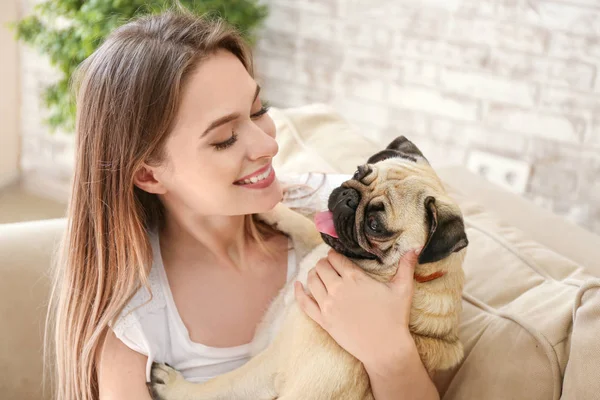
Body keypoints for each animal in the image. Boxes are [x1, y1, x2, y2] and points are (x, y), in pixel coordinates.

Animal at [150, 137, 468, 400]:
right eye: (357, 173)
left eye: (374, 225)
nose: (348, 198)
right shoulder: (312, 245)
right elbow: (304, 226)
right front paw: (271, 207)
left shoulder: (273, 366)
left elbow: (223, 384)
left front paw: (175, 386)